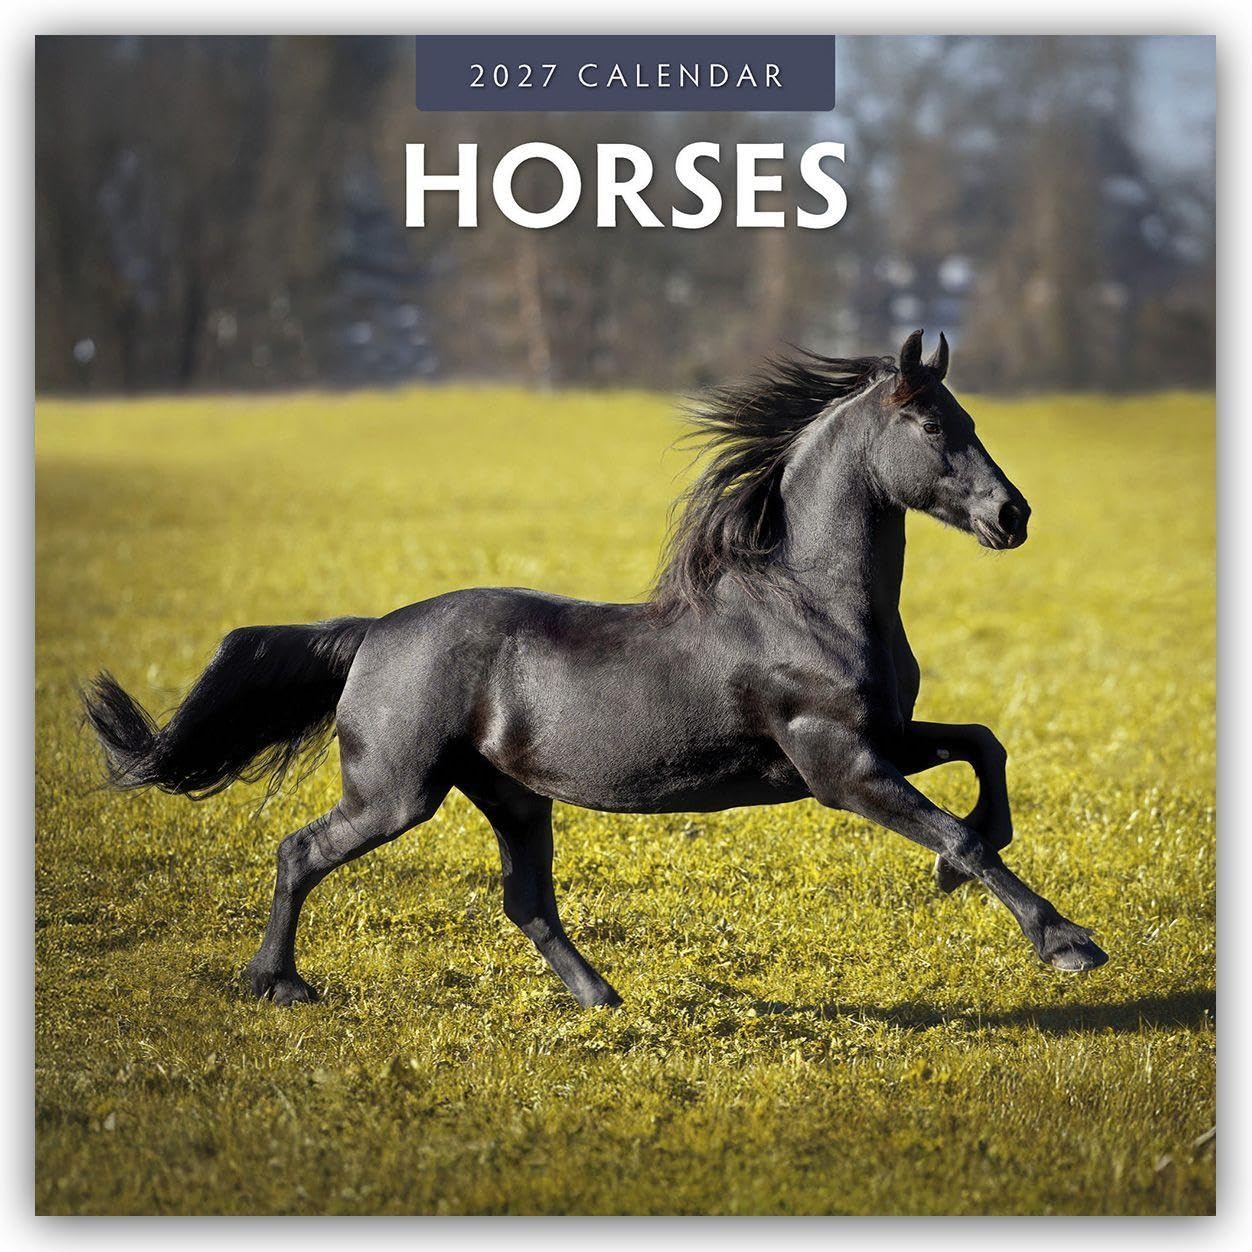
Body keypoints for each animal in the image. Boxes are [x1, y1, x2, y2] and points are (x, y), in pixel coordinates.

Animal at [83, 330, 1109, 1009]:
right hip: (397, 792)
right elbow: (962, 834)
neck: (808, 601)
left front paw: (965, 875)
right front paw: (1067, 943)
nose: (1013, 516)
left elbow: (985, 748)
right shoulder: (838, 765)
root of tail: (373, 632)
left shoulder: (884, 739)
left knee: (528, 901)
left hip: (509, 795)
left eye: (966, 417)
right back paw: (278, 984)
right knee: (303, 850)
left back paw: (604, 1002)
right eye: (933, 426)